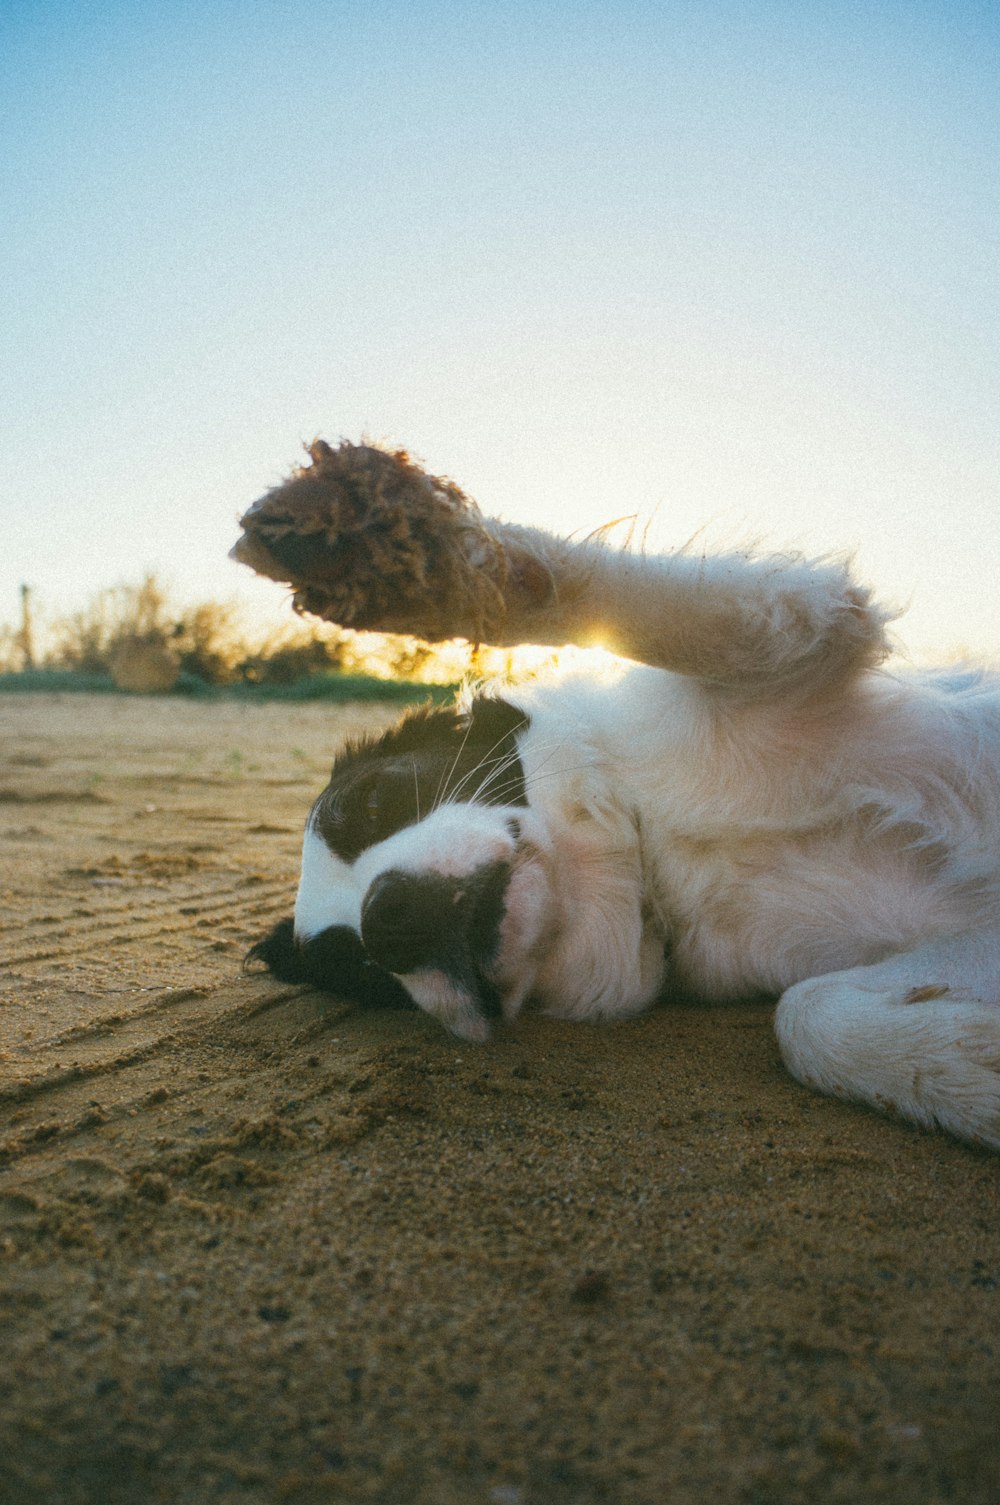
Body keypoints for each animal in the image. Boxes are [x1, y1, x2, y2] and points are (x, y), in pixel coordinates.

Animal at [248, 535, 1000, 1143]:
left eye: (372, 803)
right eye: (358, 967)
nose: (388, 919)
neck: (650, 844)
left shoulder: (794, 640)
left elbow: (611, 597)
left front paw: (411, 556)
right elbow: (803, 1012)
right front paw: (967, 1071)